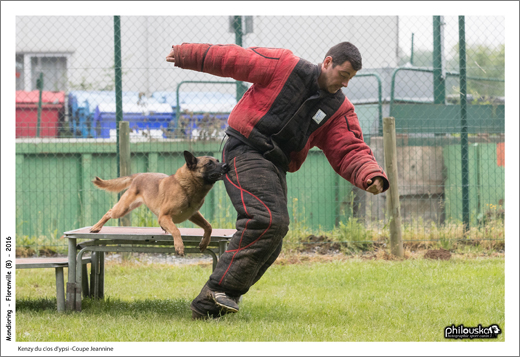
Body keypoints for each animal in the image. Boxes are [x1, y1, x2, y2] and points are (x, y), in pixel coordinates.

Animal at [89, 152, 230, 254]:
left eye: (218, 161)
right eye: (209, 164)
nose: (226, 166)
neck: (186, 187)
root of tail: (140, 175)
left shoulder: (193, 214)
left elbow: (208, 226)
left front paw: (204, 242)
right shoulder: (165, 216)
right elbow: (176, 230)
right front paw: (179, 246)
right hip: (123, 208)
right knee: (109, 212)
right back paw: (96, 227)